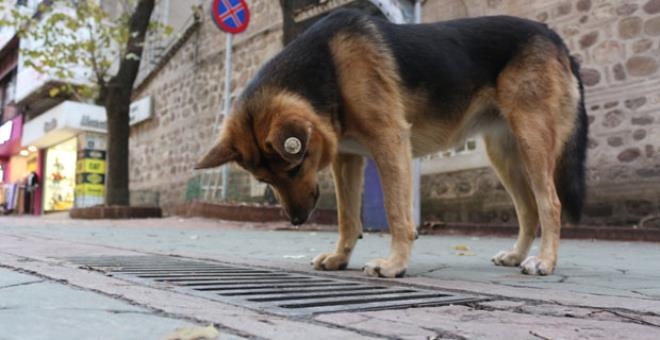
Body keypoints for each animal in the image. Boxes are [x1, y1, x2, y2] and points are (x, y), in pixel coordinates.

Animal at [196, 9, 588, 278]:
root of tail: (553, 36)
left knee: (550, 203)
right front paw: (340, 257)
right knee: (529, 209)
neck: (328, 66)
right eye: (264, 180)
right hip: (504, 154)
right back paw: (517, 255)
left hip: (532, 143)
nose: (296, 220)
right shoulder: (347, 159)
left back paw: (545, 261)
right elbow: (347, 217)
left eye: (294, 168)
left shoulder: (390, 143)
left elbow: (396, 212)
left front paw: (395, 263)